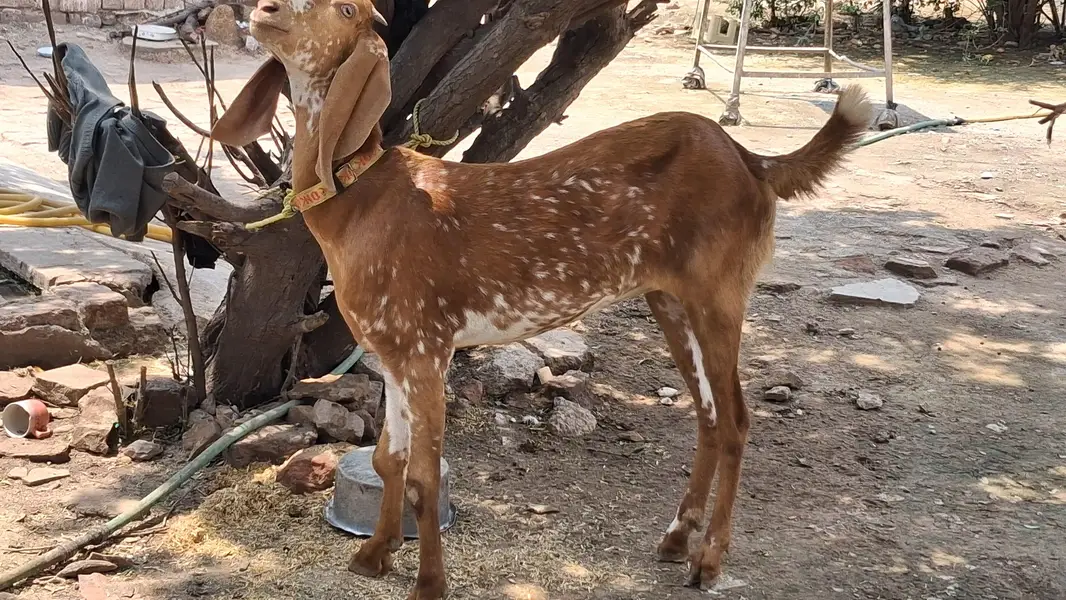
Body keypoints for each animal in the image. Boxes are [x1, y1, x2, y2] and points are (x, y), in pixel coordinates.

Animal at [212, 1, 872, 597]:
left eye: (347, 10)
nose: (265, 10)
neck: (359, 202)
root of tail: (752, 161)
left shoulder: (427, 344)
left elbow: (425, 474)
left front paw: (429, 583)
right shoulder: (391, 349)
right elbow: (386, 459)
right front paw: (374, 556)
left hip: (720, 290)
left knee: (736, 418)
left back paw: (708, 560)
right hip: (669, 297)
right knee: (707, 414)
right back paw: (676, 539)